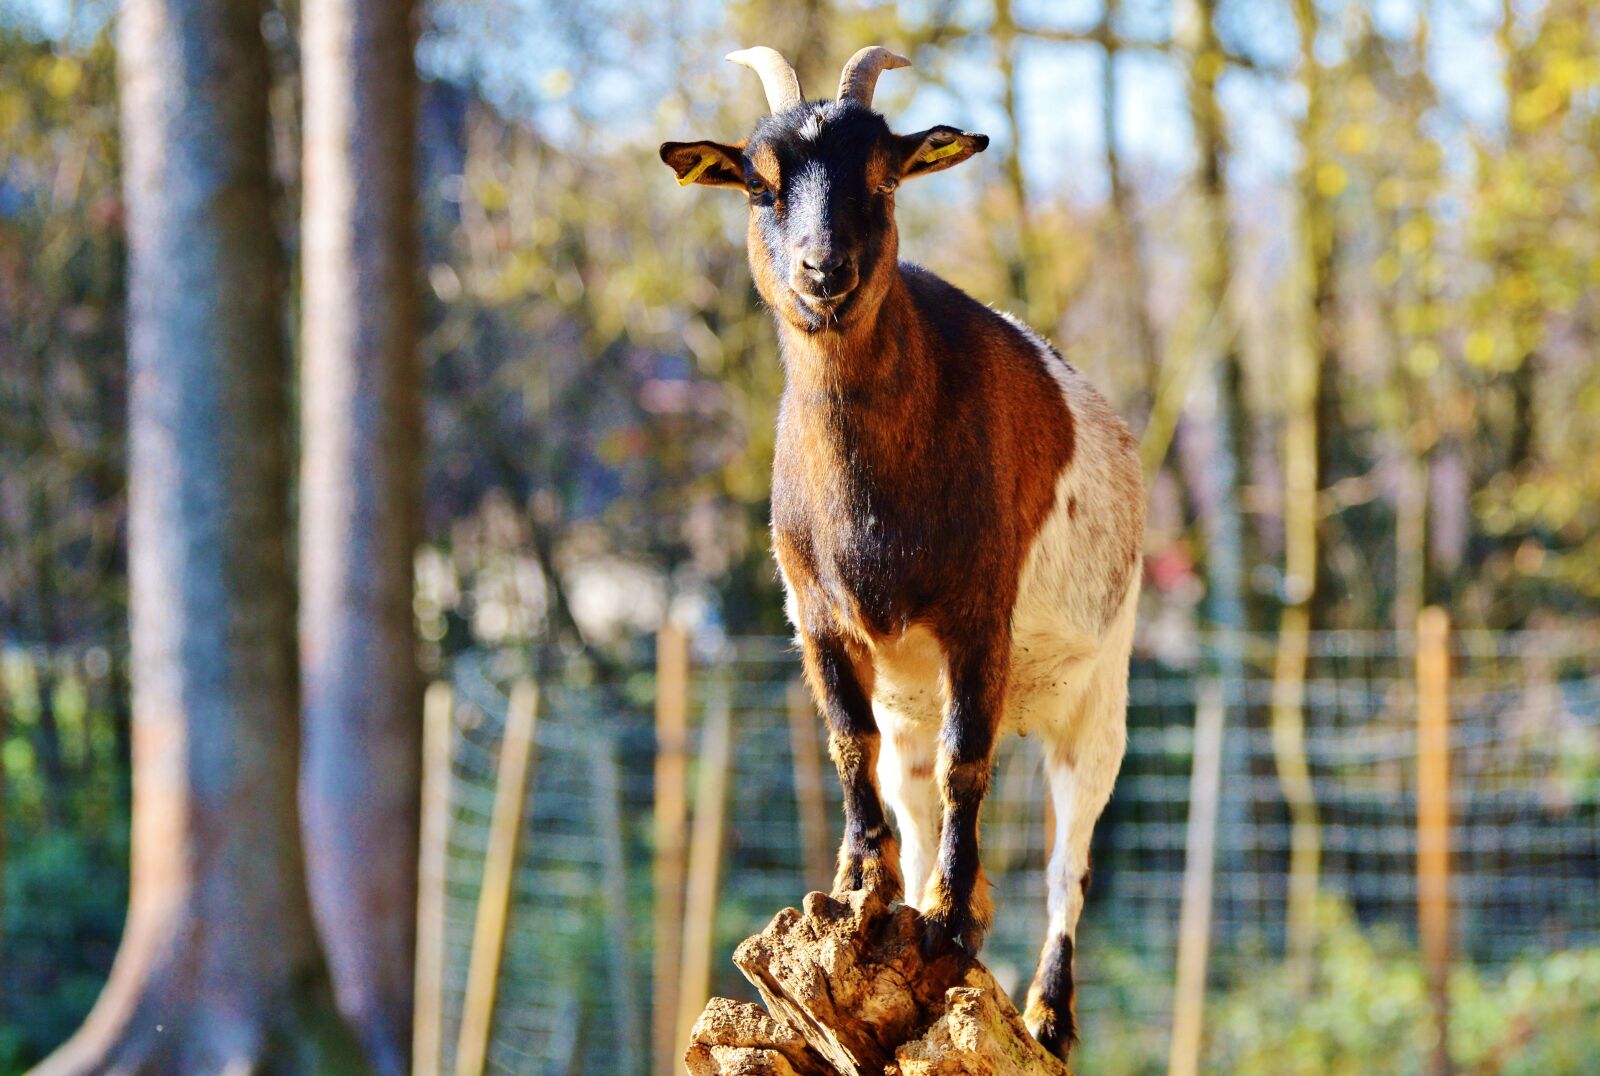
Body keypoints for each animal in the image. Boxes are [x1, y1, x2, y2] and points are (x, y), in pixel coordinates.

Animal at [661, 46, 1144, 1061]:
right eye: (759, 186)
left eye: (884, 180)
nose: (824, 269)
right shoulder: (820, 622)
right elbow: (848, 742)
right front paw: (859, 889)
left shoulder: (979, 617)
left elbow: (971, 765)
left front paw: (952, 923)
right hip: (912, 707)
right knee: (917, 797)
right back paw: (919, 897)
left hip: (1101, 695)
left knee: (1068, 856)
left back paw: (1047, 1013)